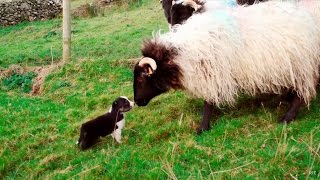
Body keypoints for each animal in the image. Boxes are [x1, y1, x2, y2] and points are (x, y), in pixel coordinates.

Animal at [134, 0, 320, 134]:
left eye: (142, 79)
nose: (137, 102)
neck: (182, 54)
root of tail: (309, 20)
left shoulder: (213, 74)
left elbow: (208, 103)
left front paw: (203, 127)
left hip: (302, 65)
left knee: (302, 94)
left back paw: (287, 117)